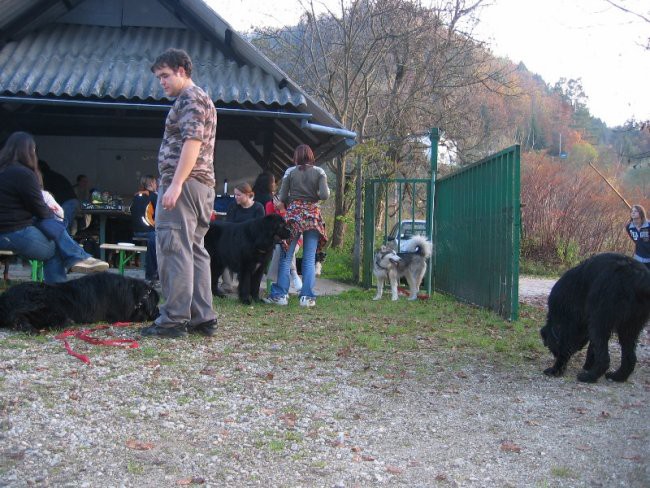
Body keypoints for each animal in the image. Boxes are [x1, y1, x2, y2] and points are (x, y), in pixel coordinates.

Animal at [0, 272, 159, 334]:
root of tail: (6, 296)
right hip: (44, 305)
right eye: (156, 304)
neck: (133, 294)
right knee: (18, 315)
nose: (158, 312)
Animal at [536, 254, 648, 384]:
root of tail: (639, 279)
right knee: (630, 358)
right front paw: (588, 364)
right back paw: (617, 377)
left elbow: (567, 347)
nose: (554, 355)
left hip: (600, 323)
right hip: (628, 328)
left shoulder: (573, 325)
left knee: (605, 359)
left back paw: (589, 377)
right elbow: (591, 347)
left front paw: (555, 369)